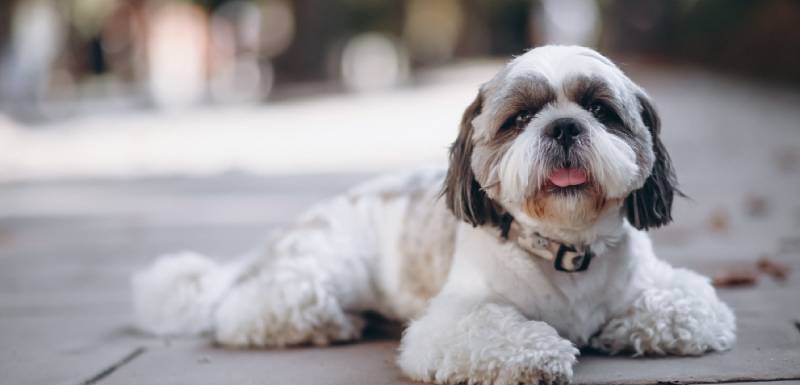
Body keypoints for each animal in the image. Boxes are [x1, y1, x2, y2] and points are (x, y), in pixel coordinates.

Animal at [133, 45, 736, 384]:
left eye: (600, 110)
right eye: (520, 118)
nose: (564, 126)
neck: (564, 250)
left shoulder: (671, 291)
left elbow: (686, 310)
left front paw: (618, 329)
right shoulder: (455, 320)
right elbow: (500, 331)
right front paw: (541, 352)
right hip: (319, 276)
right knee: (246, 311)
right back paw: (334, 323)